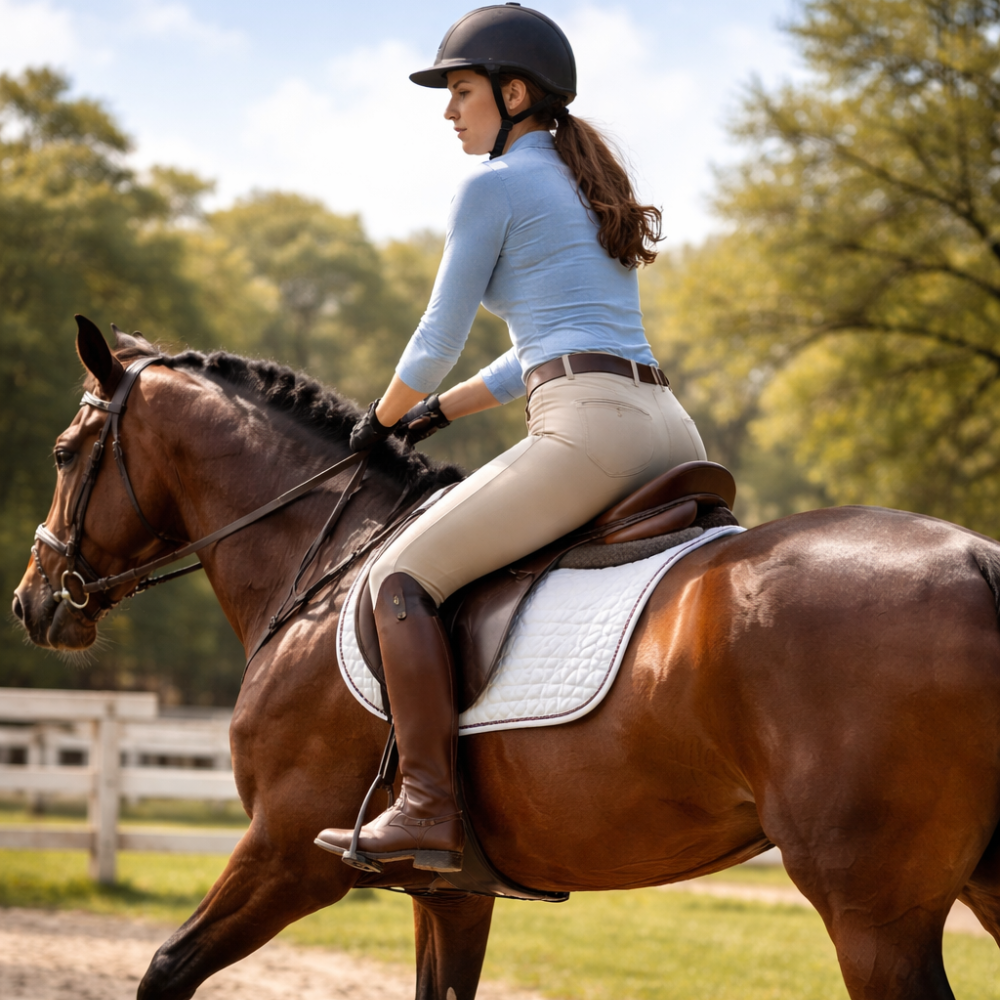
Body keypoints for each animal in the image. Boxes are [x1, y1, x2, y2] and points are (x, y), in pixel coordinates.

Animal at [13, 322, 1000, 1000]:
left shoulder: (290, 849)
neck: (327, 563)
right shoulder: (450, 893)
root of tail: (975, 558)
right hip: (977, 881)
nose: (33, 601)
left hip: (873, 914)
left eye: (63, 454)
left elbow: (164, 969)